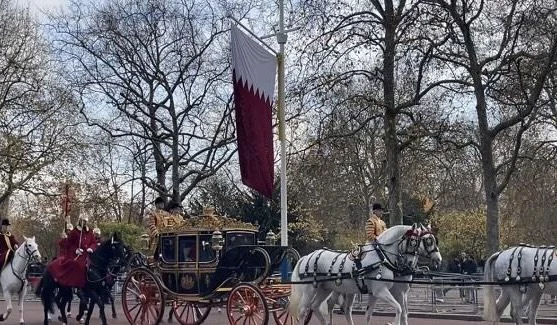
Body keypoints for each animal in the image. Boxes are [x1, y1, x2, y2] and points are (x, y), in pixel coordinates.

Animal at [286, 224, 438, 322]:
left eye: (420, 242)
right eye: (414, 241)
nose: (438, 259)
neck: (382, 257)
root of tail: (307, 256)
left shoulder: (378, 293)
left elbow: (371, 314)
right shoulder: (382, 291)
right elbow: (399, 309)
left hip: (326, 289)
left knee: (318, 307)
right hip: (310, 290)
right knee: (302, 311)